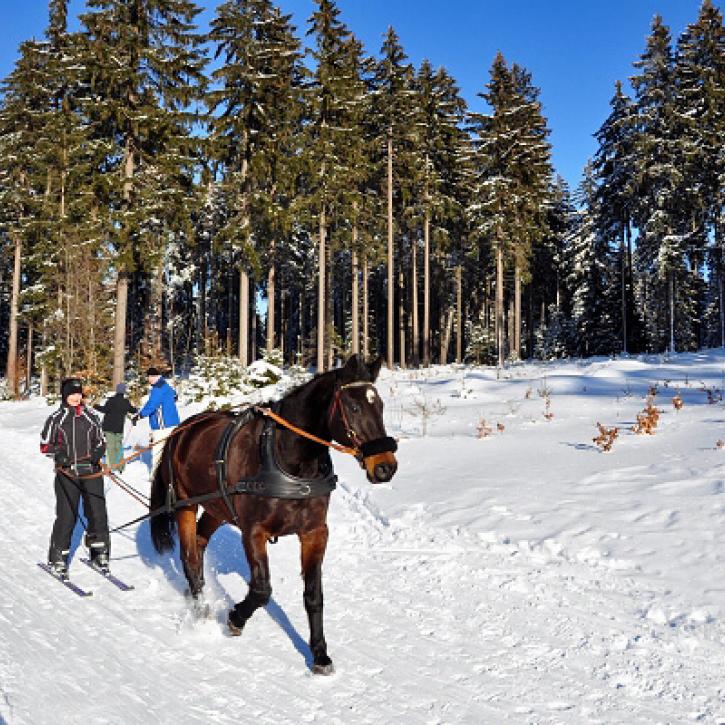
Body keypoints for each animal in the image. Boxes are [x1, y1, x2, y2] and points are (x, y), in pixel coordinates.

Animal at [149, 354, 398, 674]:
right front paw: (235, 618)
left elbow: (313, 595)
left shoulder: (315, 533)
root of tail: (184, 429)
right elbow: (261, 589)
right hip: (185, 504)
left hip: (218, 507)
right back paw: (201, 609)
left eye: (380, 406)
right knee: (190, 556)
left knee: (201, 544)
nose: (385, 466)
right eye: (354, 407)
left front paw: (319, 653)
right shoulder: (254, 531)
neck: (289, 459)